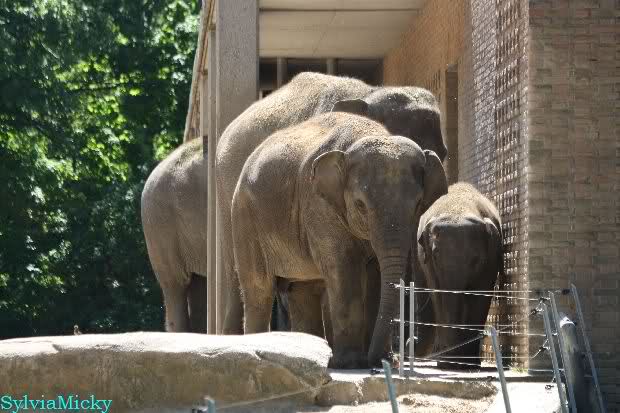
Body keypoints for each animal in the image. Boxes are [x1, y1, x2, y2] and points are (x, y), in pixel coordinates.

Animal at [416, 182, 503, 368]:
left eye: (476, 258)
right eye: (436, 255)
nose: (452, 360)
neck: (460, 209)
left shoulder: (492, 256)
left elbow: (481, 294)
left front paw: (467, 364)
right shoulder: (429, 261)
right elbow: (438, 295)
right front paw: (448, 362)